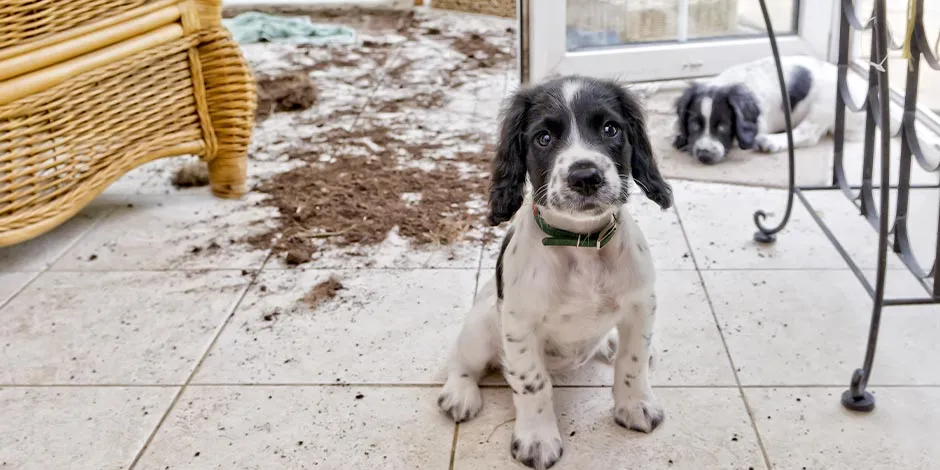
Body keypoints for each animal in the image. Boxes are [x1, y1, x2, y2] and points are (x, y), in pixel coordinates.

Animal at [436, 75, 672, 468]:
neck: (581, 244)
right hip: (482, 325)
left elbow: (633, 361)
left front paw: (635, 405)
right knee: (461, 360)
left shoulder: (642, 305)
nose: (586, 176)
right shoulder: (519, 325)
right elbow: (533, 383)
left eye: (611, 129)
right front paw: (536, 440)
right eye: (543, 138)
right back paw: (459, 393)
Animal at [672, 54, 872, 163]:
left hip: (825, 104)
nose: (704, 155)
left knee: (808, 134)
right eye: (693, 125)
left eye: (723, 126)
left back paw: (770, 142)